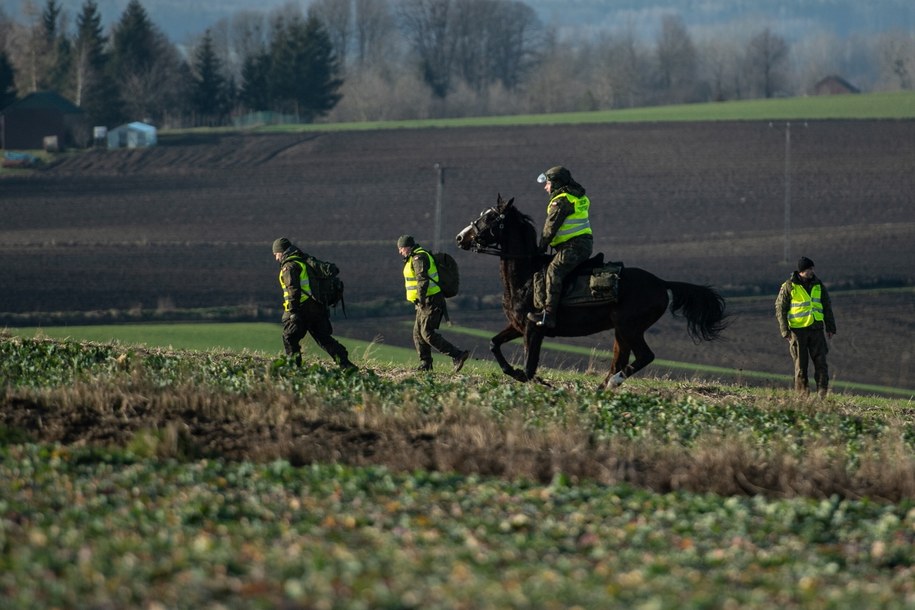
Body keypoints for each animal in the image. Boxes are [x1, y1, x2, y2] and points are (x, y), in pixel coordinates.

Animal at [456, 192, 728, 388]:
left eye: (490, 217)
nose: (460, 237)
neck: (525, 276)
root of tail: (661, 282)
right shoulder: (517, 325)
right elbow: (494, 344)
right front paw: (512, 372)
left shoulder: (534, 329)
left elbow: (530, 367)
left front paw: (536, 381)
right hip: (621, 330)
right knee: (620, 359)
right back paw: (603, 388)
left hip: (630, 327)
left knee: (644, 356)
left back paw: (612, 383)